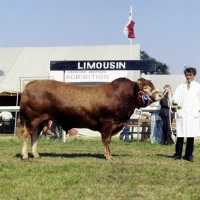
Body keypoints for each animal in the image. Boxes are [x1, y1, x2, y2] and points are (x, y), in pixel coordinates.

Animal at [17, 77, 162, 160]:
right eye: (145, 87)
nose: (160, 94)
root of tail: (31, 84)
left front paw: (107, 154)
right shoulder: (107, 123)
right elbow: (106, 140)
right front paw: (108, 156)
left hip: (40, 121)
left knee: (34, 136)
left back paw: (36, 155)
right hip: (32, 119)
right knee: (26, 135)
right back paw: (25, 156)